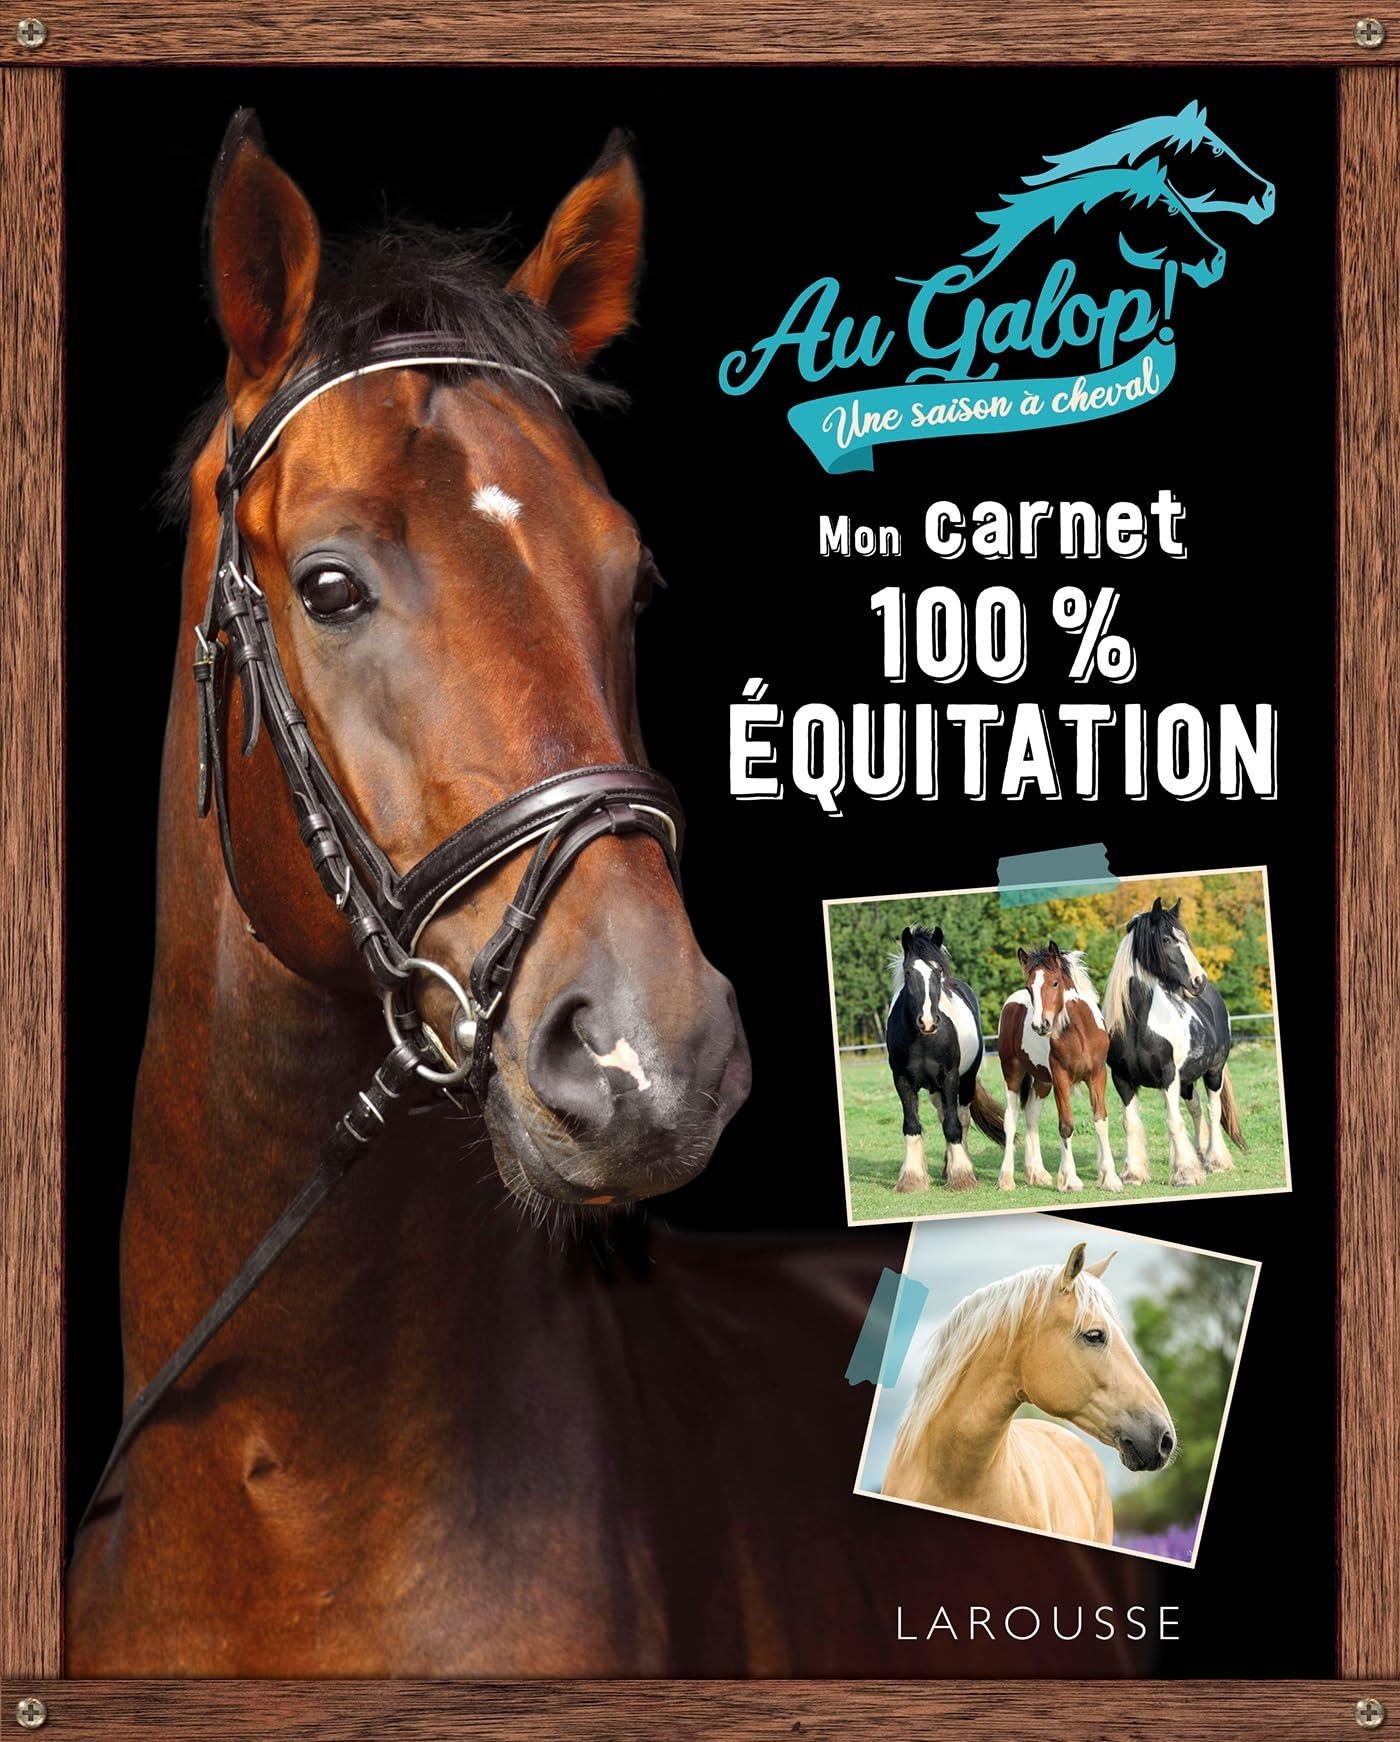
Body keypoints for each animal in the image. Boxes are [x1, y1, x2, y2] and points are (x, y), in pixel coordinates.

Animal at [887, 925, 1003, 1193]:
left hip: (965, 1081)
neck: (923, 1041)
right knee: (944, 1114)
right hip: (934, 1089)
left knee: (961, 1118)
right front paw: (912, 1178)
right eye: (908, 971)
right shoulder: (902, 1081)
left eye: (937, 970)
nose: (928, 1021)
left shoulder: (950, 1079)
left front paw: (961, 1177)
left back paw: (959, 1167)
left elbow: (953, 1125)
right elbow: (912, 1125)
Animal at [997, 941, 1122, 1196]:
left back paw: (1037, 1174)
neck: (1080, 1033)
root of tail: (1011, 1003)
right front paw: (1070, 1180)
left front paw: (1110, 1179)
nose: (1040, 1025)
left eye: (1055, 982)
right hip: (1012, 1073)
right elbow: (1066, 1125)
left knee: (1032, 1116)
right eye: (1029, 987)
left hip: (1042, 1081)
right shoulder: (1061, 1079)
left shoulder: (1098, 1076)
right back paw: (1006, 1179)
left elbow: (1101, 1121)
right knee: (1011, 1120)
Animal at [1103, 896, 1247, 1187]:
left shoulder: (1168, 1076)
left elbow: (1173, 1121)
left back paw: (1216, 1161)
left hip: (1213, 1072)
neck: (1138, 1026)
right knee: (1196, 1109)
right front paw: (1133, 1174)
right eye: (1167, 940)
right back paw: (1200, 1154)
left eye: (1185, 938)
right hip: (1188, 1080)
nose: (1199, 980)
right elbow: (1130, 1123)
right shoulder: (1122, 1079)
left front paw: (1185, 1173)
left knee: (1213, 1111)